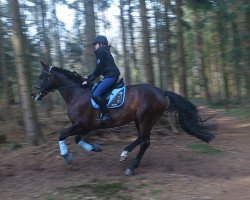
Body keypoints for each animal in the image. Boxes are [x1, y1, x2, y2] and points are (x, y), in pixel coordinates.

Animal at [31, 61, 215, 176]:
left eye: (41, 76)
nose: (34, 93)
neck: (77, 93)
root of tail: (162, 92)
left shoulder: (81, 123)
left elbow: (62, 134)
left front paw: (66, 156)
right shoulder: (86, 125)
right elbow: (76, 138)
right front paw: (94, 148)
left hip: (146, 119)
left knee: (145, 141)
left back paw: (131, 168)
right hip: (139, 120)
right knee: (141, 138)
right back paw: (124, 153)